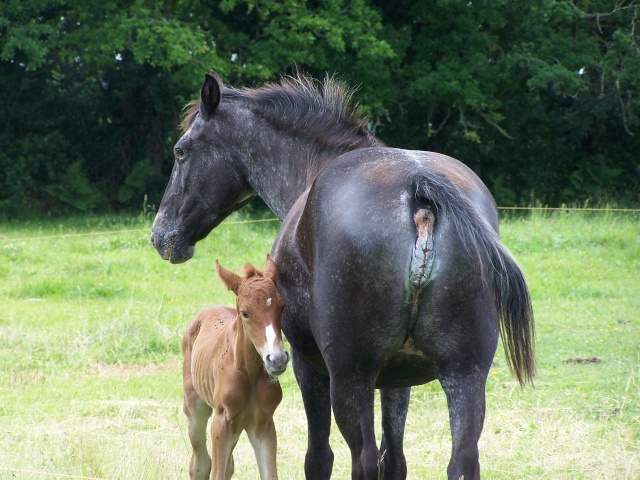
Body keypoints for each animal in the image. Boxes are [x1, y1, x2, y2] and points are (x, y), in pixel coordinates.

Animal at [181, 253, 288, 478]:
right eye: (245, 313)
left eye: (282, 306)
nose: (277, 359)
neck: (248, 372)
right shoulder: (222, 422)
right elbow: (215, 472)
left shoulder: (263, 424)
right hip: (195, 409)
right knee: (200, 464)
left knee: (228, 465)